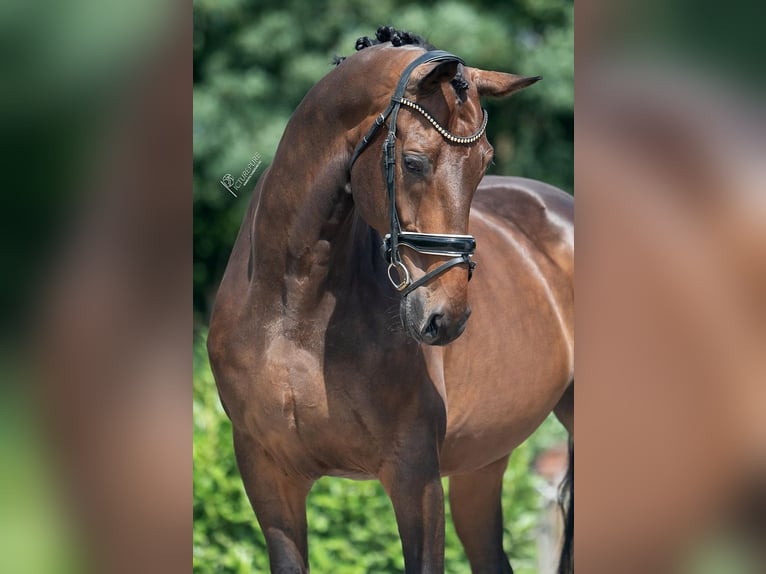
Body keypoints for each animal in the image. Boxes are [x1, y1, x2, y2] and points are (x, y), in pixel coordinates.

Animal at [207, 28, 572, 574]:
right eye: (414, 162)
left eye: (483, 164)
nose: (447, 318)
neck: (294, 307)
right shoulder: (268, 477)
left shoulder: (414, 476)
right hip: (482, 465)